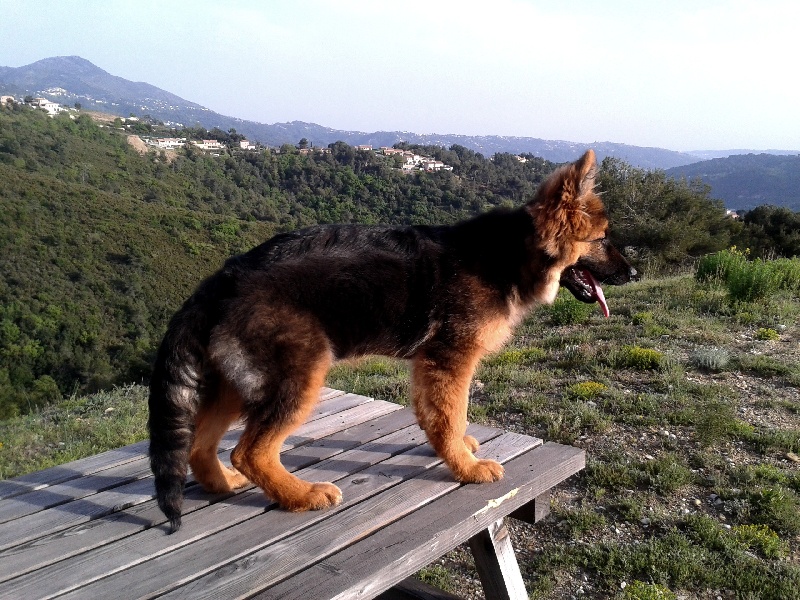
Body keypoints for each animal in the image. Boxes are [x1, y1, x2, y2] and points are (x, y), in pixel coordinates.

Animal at [148, 149, 636, 528]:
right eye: (602, 238)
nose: (635, 273)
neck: (509, 254)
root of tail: (222, 279)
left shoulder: (430, 365)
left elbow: (442, 417)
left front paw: (458, 450)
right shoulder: (450, 361)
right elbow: (451, 415)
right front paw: (465, 468)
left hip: (236, 384)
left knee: (198, 444)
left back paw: (224, 485)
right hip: (299, 376)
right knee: (249, 452)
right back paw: (300, 496)